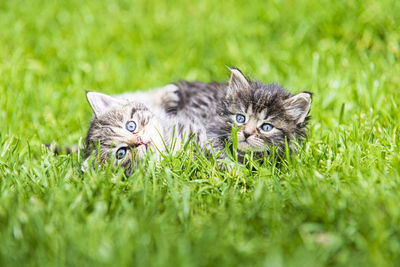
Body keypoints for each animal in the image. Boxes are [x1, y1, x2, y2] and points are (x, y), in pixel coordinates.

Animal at [166, 68, 312, 162]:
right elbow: (215, 149)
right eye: (240, 118)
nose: (247, 133)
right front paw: (234, 169)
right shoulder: (208, 129)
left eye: (267, 127)